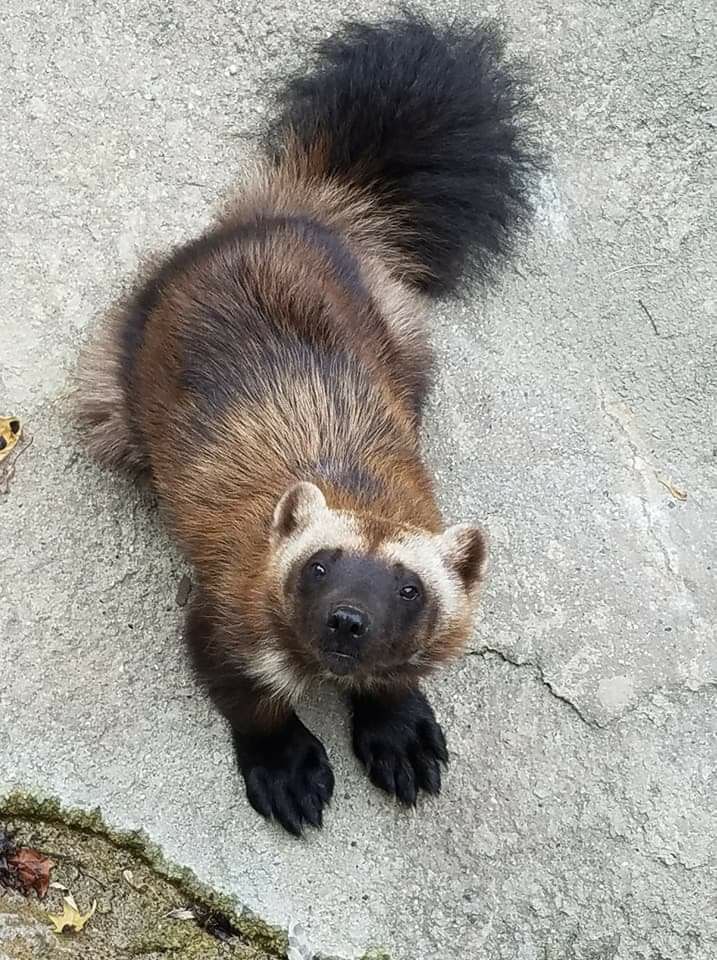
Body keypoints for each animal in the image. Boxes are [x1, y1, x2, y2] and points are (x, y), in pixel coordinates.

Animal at [75, 11, 540, 835]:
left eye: (410, 588)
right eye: (319, 564)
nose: (348, 620)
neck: (355, 489)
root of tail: (300, 204)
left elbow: (391, 683)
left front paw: (399, 733)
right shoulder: (219, 614)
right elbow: (251, 700)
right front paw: (287, 769)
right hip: (113, 395)